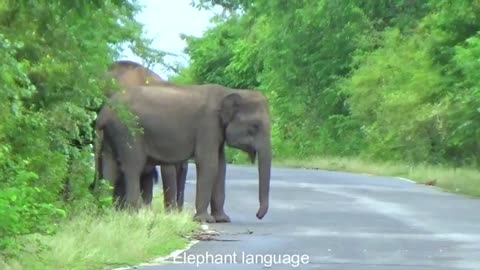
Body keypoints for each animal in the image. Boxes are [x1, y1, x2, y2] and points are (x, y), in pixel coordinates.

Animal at [95, 83, 272, 223]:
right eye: (255, 126)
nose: (258, 215)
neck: (230, 91)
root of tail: (104, 112)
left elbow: (221, 165)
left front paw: (222, 219)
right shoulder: (207, 125)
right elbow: (209, 163)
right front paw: (204, 220)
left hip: (112, 135)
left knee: (110, 168)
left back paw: (106, 211)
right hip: (128, 130)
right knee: (132, 167)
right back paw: (134, 214)